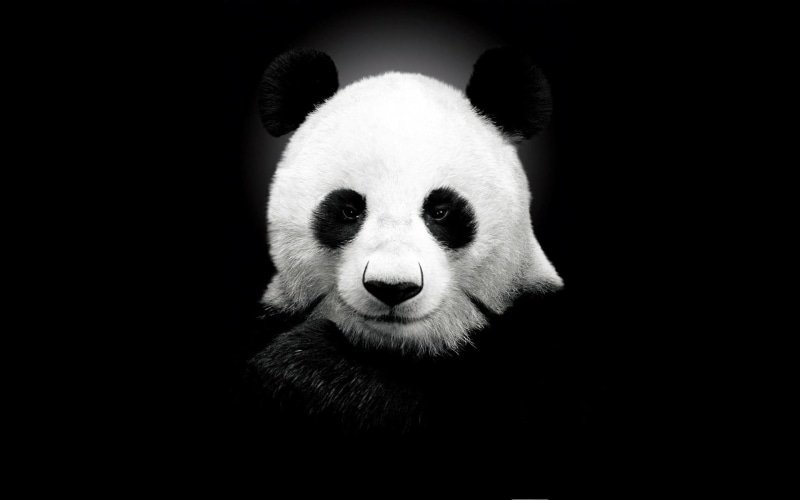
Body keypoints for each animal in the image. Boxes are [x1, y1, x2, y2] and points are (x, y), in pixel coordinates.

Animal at [240, 48, 573, 463]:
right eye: (348, 210)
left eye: (441, 210)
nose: (392, 287)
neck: (397, 349)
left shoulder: (536, 339)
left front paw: (305, 368)